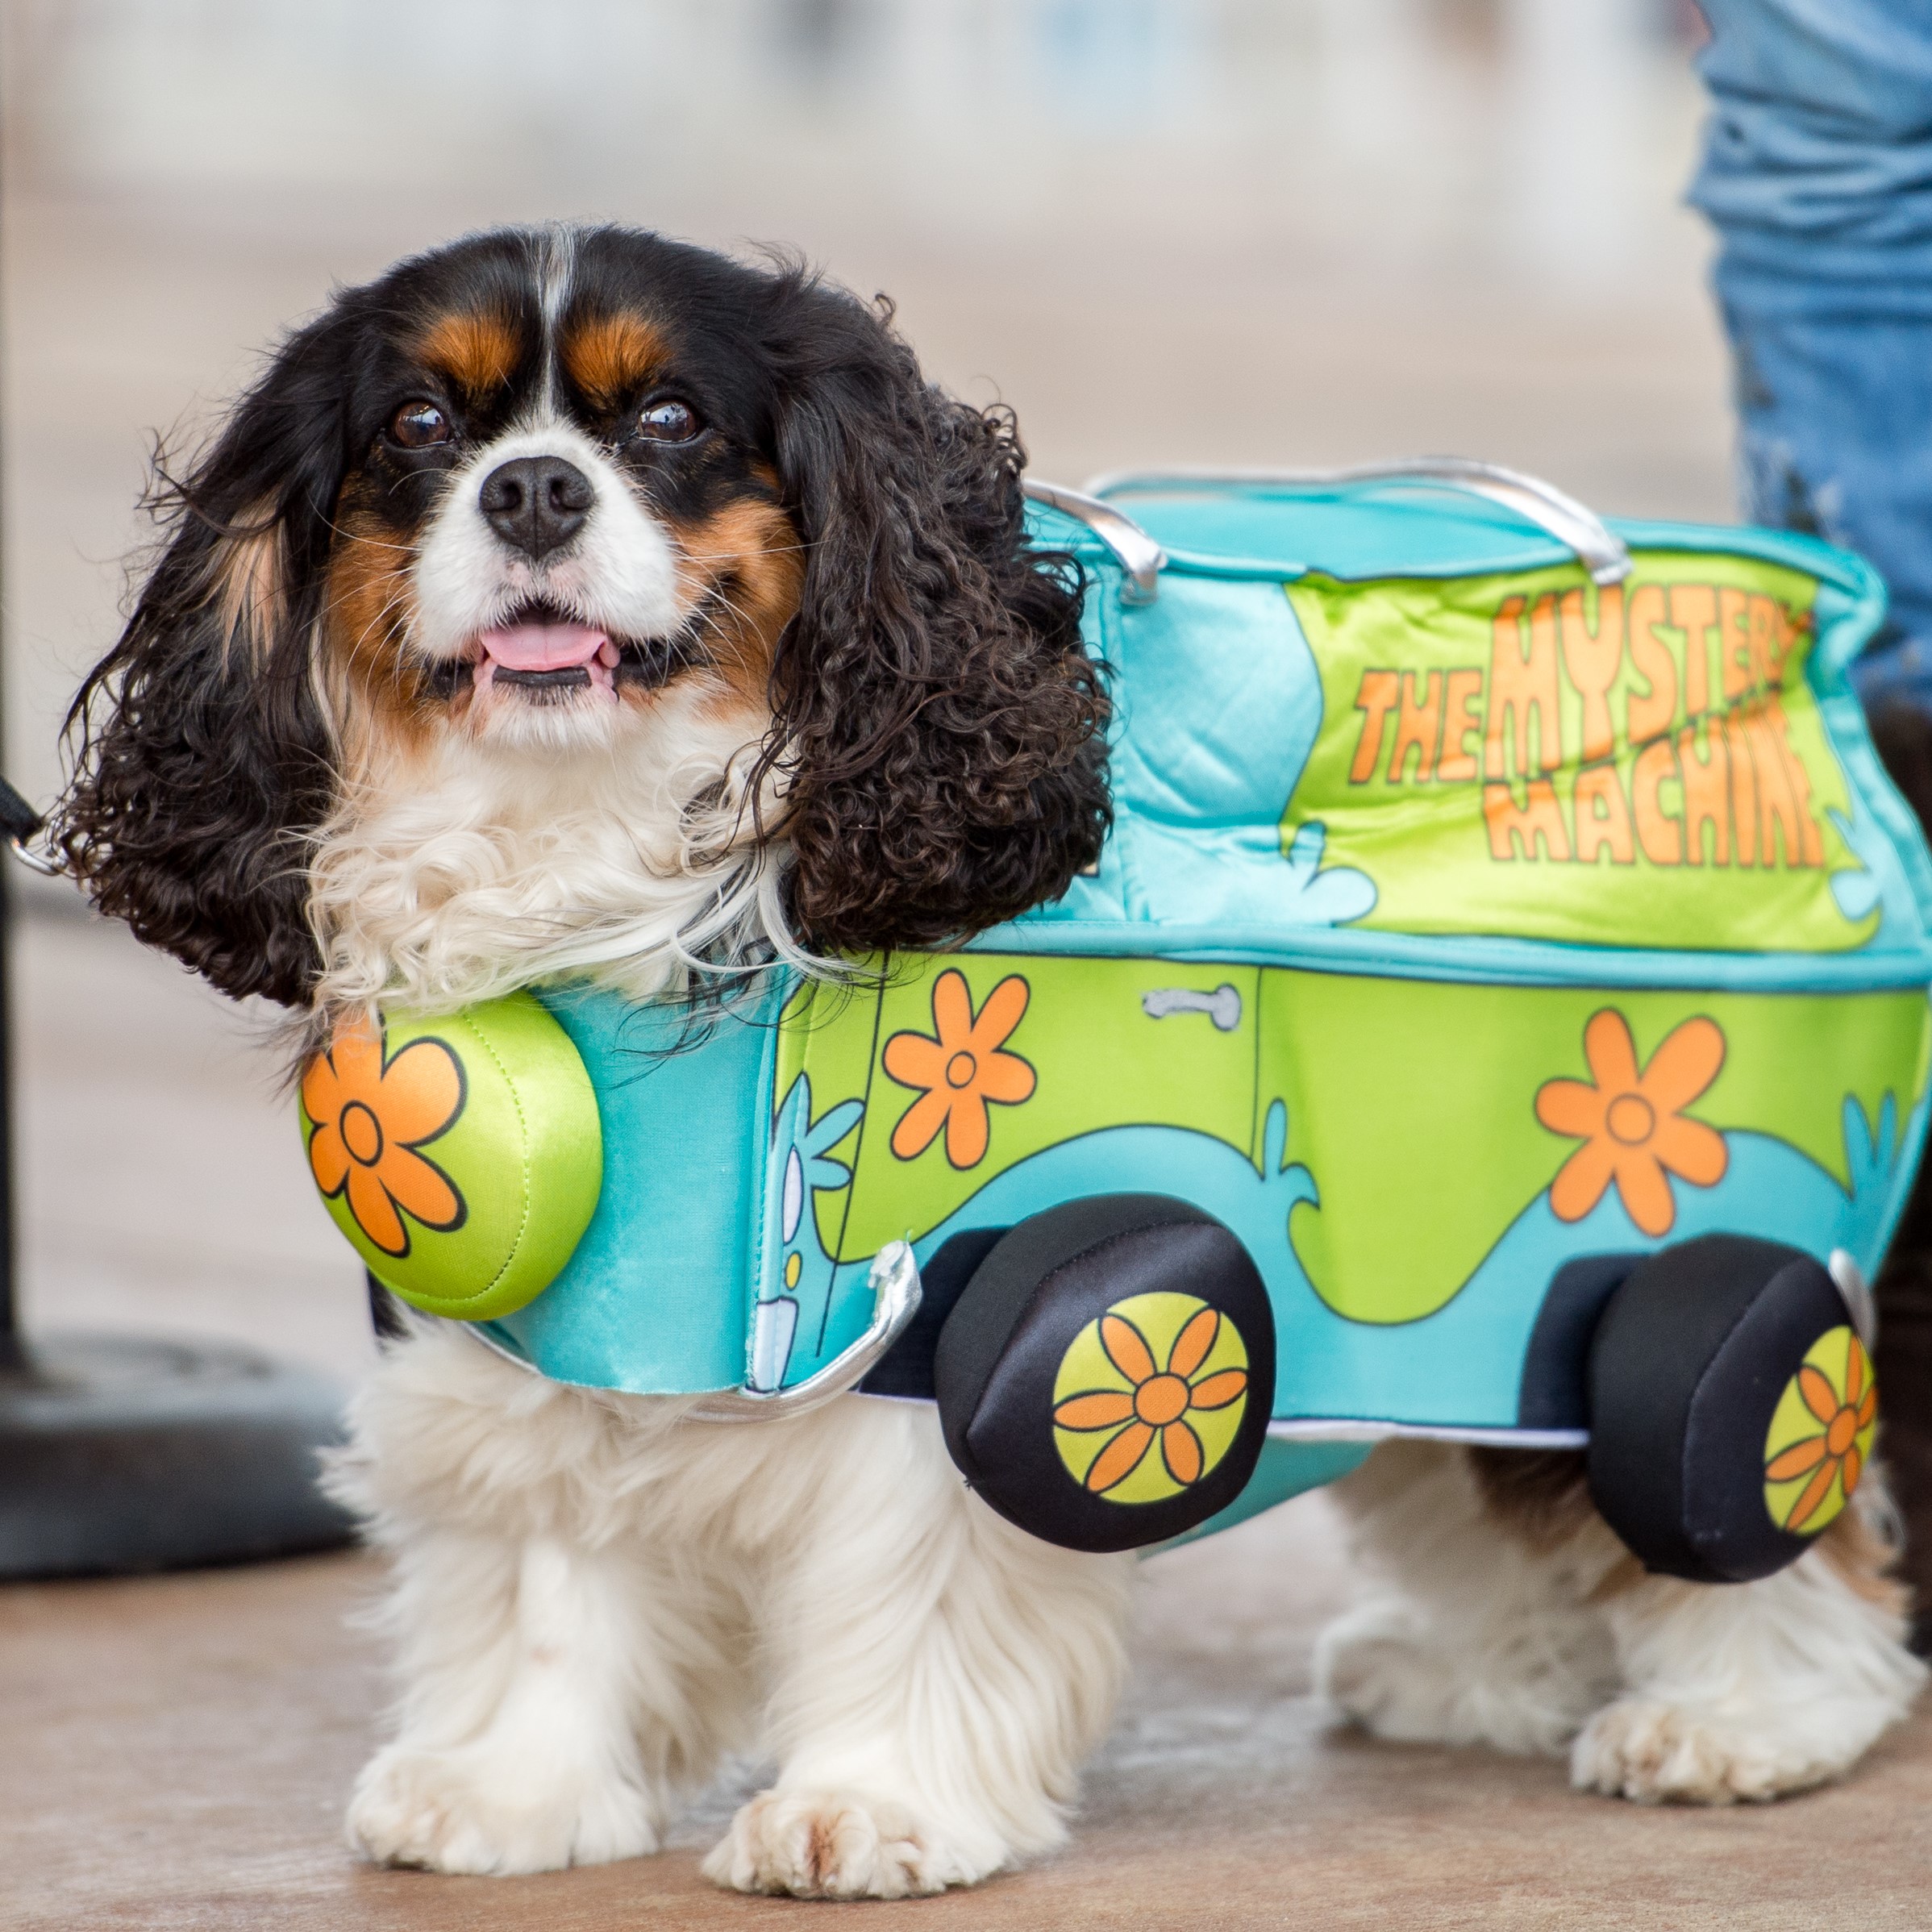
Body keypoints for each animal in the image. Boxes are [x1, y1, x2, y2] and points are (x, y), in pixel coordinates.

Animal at [56, 230, 1932, 1901]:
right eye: (419, 426)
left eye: (667, 420)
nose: (530, 493)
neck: (595, 837)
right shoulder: (549, 1322)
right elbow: (549, 1566)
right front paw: (518, 1786)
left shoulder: (952, 1303)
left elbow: (917, 1587)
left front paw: (866, 1808)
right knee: (1466, 1445)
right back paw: (1480, 1679)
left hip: (1684, 1236)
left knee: (1724, 1464)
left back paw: (1743, 1715)